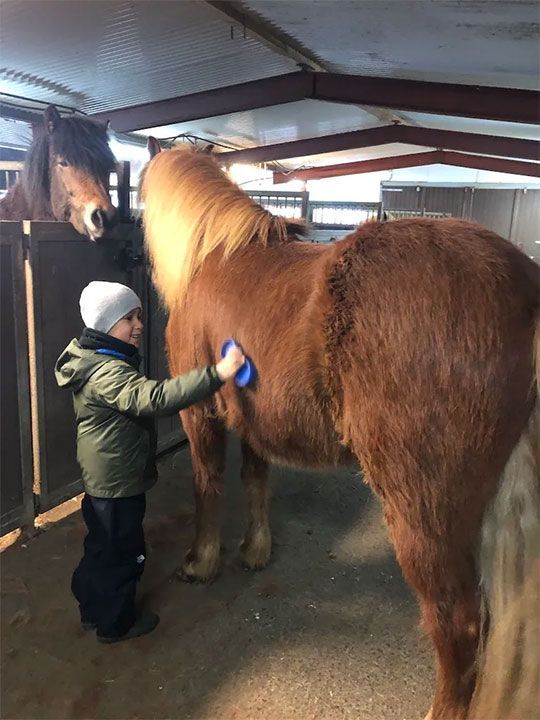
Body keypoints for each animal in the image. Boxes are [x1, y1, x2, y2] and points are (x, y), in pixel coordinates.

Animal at [141, 143, 540, 720]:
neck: (215, 255)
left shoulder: (202, 415)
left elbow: (208, 485)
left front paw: (201, 561)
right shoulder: (254, 421)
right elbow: (255, 480)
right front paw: (255, 551)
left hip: (425, 516)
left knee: (459, 622)